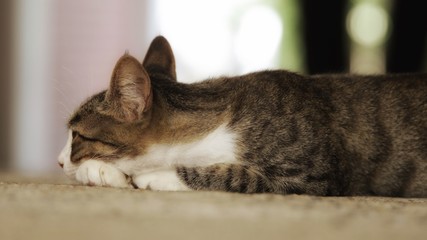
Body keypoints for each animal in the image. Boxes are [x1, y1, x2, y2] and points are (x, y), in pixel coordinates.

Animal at [57, 35, 427, 197]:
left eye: (77, 135)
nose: (59, 162)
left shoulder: (316, 176)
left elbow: (237, 175)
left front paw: (158, 176)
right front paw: (102, 171)